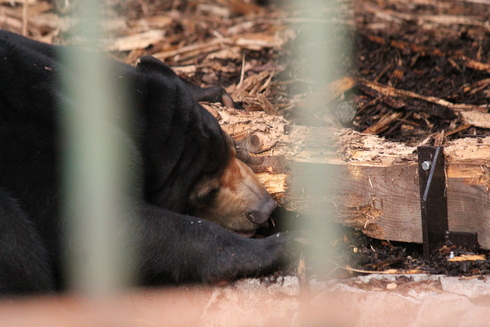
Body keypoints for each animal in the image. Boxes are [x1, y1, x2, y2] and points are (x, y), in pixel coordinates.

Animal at [0, 30, 290, 296]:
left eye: (231, 148)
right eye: (207, 192)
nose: (264, 209)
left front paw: (211, 93)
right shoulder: (44, 156)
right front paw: (275, 246)